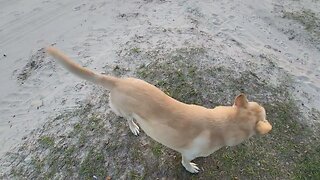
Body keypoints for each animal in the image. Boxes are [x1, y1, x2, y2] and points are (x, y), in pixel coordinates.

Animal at [47, 46, 272, 173]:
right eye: (264, 112)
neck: (225, 123)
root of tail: (119, 82)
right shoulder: (188, 153)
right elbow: (186, 161)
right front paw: (191, 168)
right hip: (124, 111)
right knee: (127, 118)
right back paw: (133, 127)